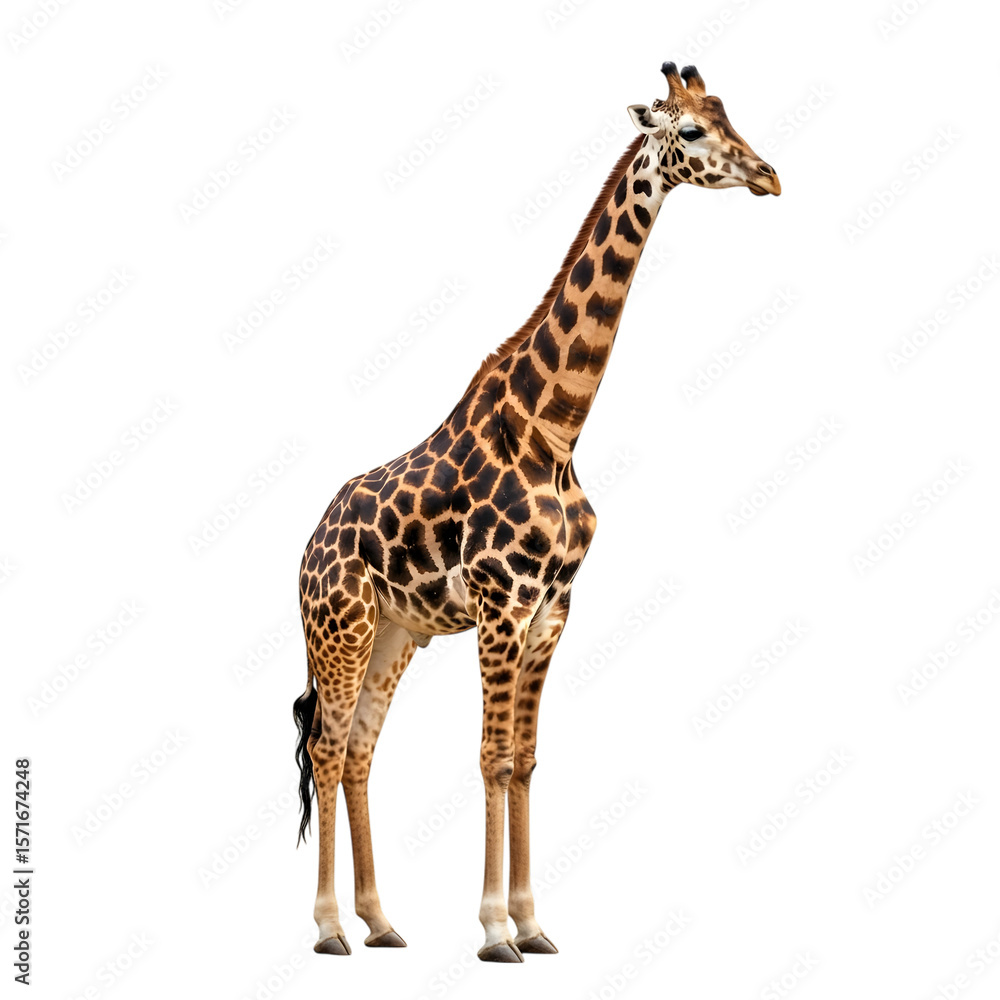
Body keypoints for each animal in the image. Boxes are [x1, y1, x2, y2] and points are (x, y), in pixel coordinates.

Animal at [294, 61, 780, 962]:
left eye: (731, 114)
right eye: (691, 131)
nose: (770, 175)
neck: (555, 425)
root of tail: (307, 546)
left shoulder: (553, 608)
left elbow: (523, 758)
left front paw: (532, 922)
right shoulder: (502, 603)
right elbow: (490, 756)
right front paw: (492, 931)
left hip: (395, 631)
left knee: (360, 749)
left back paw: (381, 921)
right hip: (338, 627)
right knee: (326, 744)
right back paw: (330, 927)